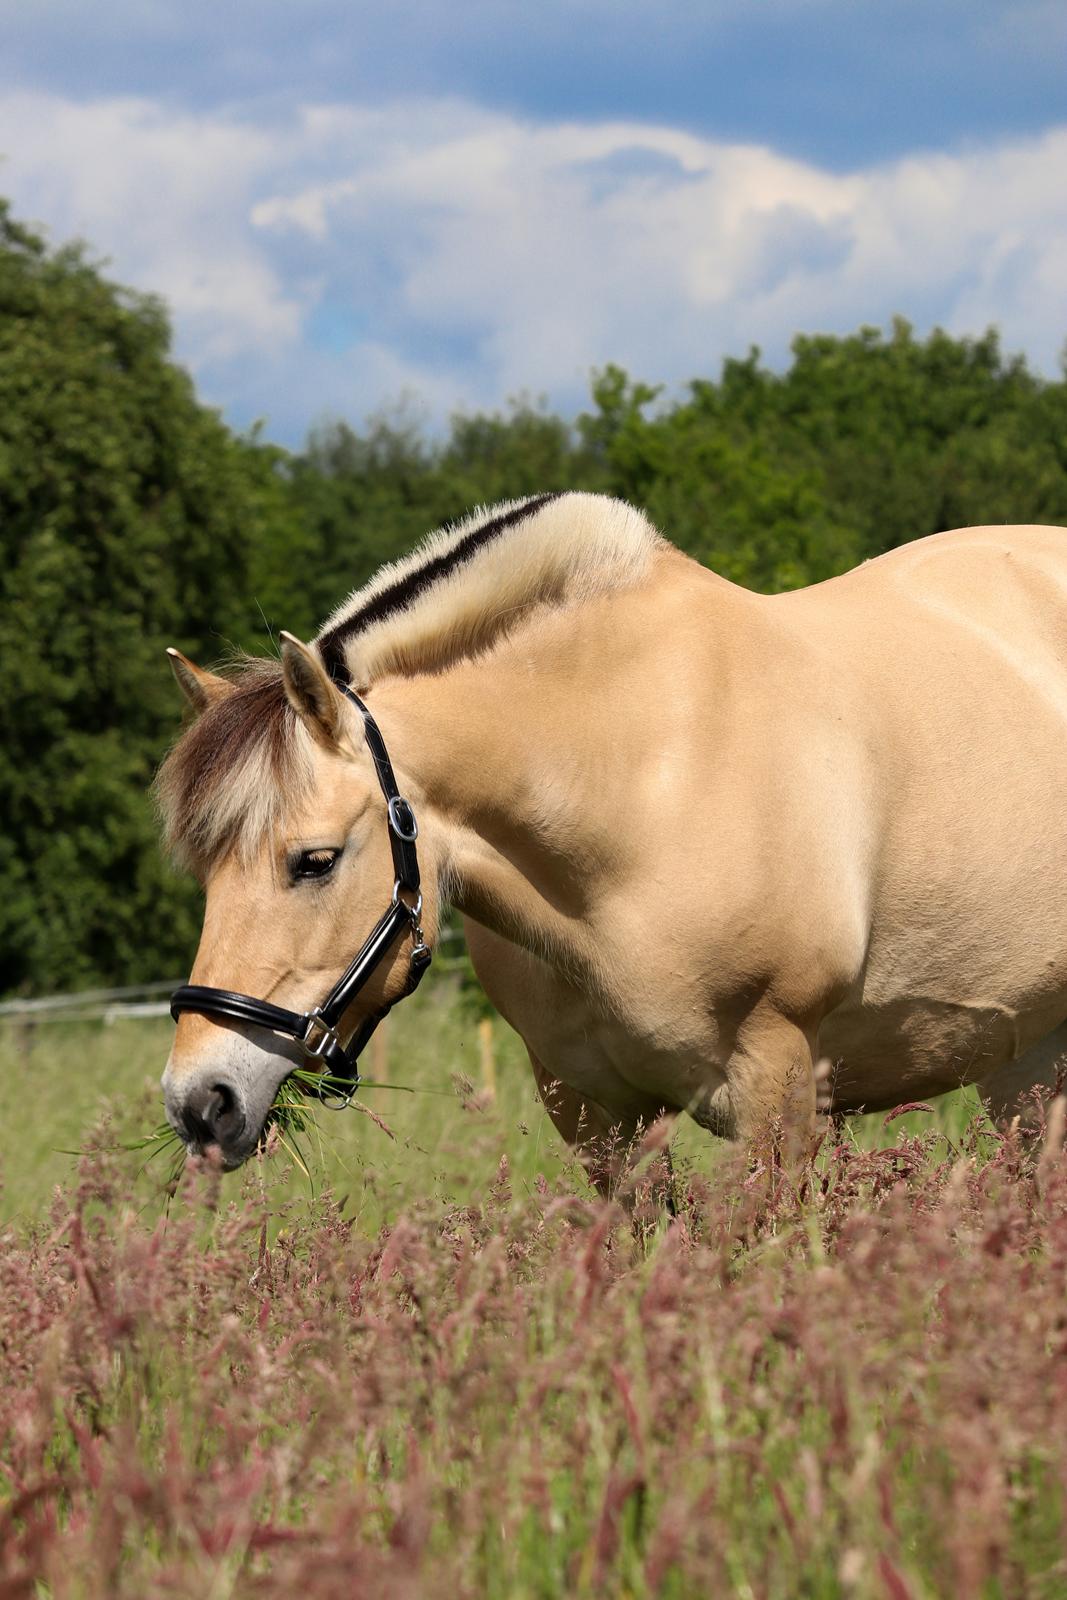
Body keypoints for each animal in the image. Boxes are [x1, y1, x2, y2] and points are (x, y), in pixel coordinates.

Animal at [156, 492, 1067, 1196]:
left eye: (314, 861)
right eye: (205, 873)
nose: (199, 1103)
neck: (642, 781)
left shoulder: (775, 1087)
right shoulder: (593, 1113)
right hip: (1024, 1060)